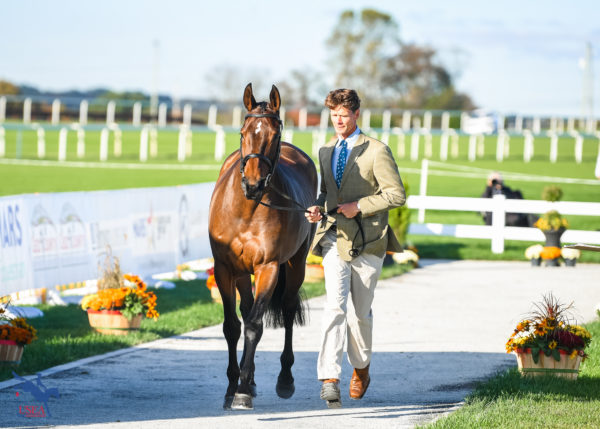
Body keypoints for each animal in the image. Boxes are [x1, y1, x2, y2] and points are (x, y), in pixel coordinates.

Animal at [207, 83, 318, 408]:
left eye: (274, 134)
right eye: (243, 132)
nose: (253, 184)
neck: (246, 210)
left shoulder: (268, 267)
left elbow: (255, 326)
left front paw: (242, 389)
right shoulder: (224, 268)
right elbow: (232, 326)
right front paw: (233, 385)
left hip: (296, 265)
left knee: (289, 308)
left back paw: (284, 379)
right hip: (243, 272)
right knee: (245, 311)